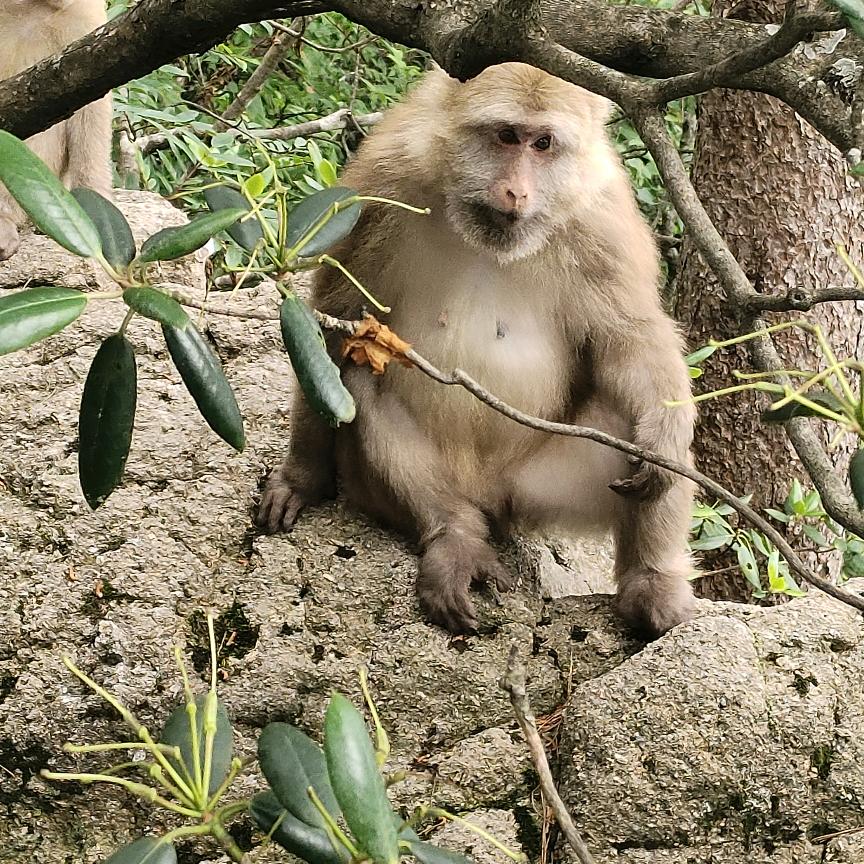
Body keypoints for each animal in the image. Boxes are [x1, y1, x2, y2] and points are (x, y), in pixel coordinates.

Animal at [257, 63, 698, 639]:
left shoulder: (601, 220)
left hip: (533, 487)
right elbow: (335, 326)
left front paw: (663, 436)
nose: (515, 191)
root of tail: (487, 495)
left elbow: (630, 339)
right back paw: (455, 536)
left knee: (634, 427)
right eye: (506, 135)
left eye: (543, 143)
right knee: (359, 373)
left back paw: (651, 588)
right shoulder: (377, 188)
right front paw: (302, 476)